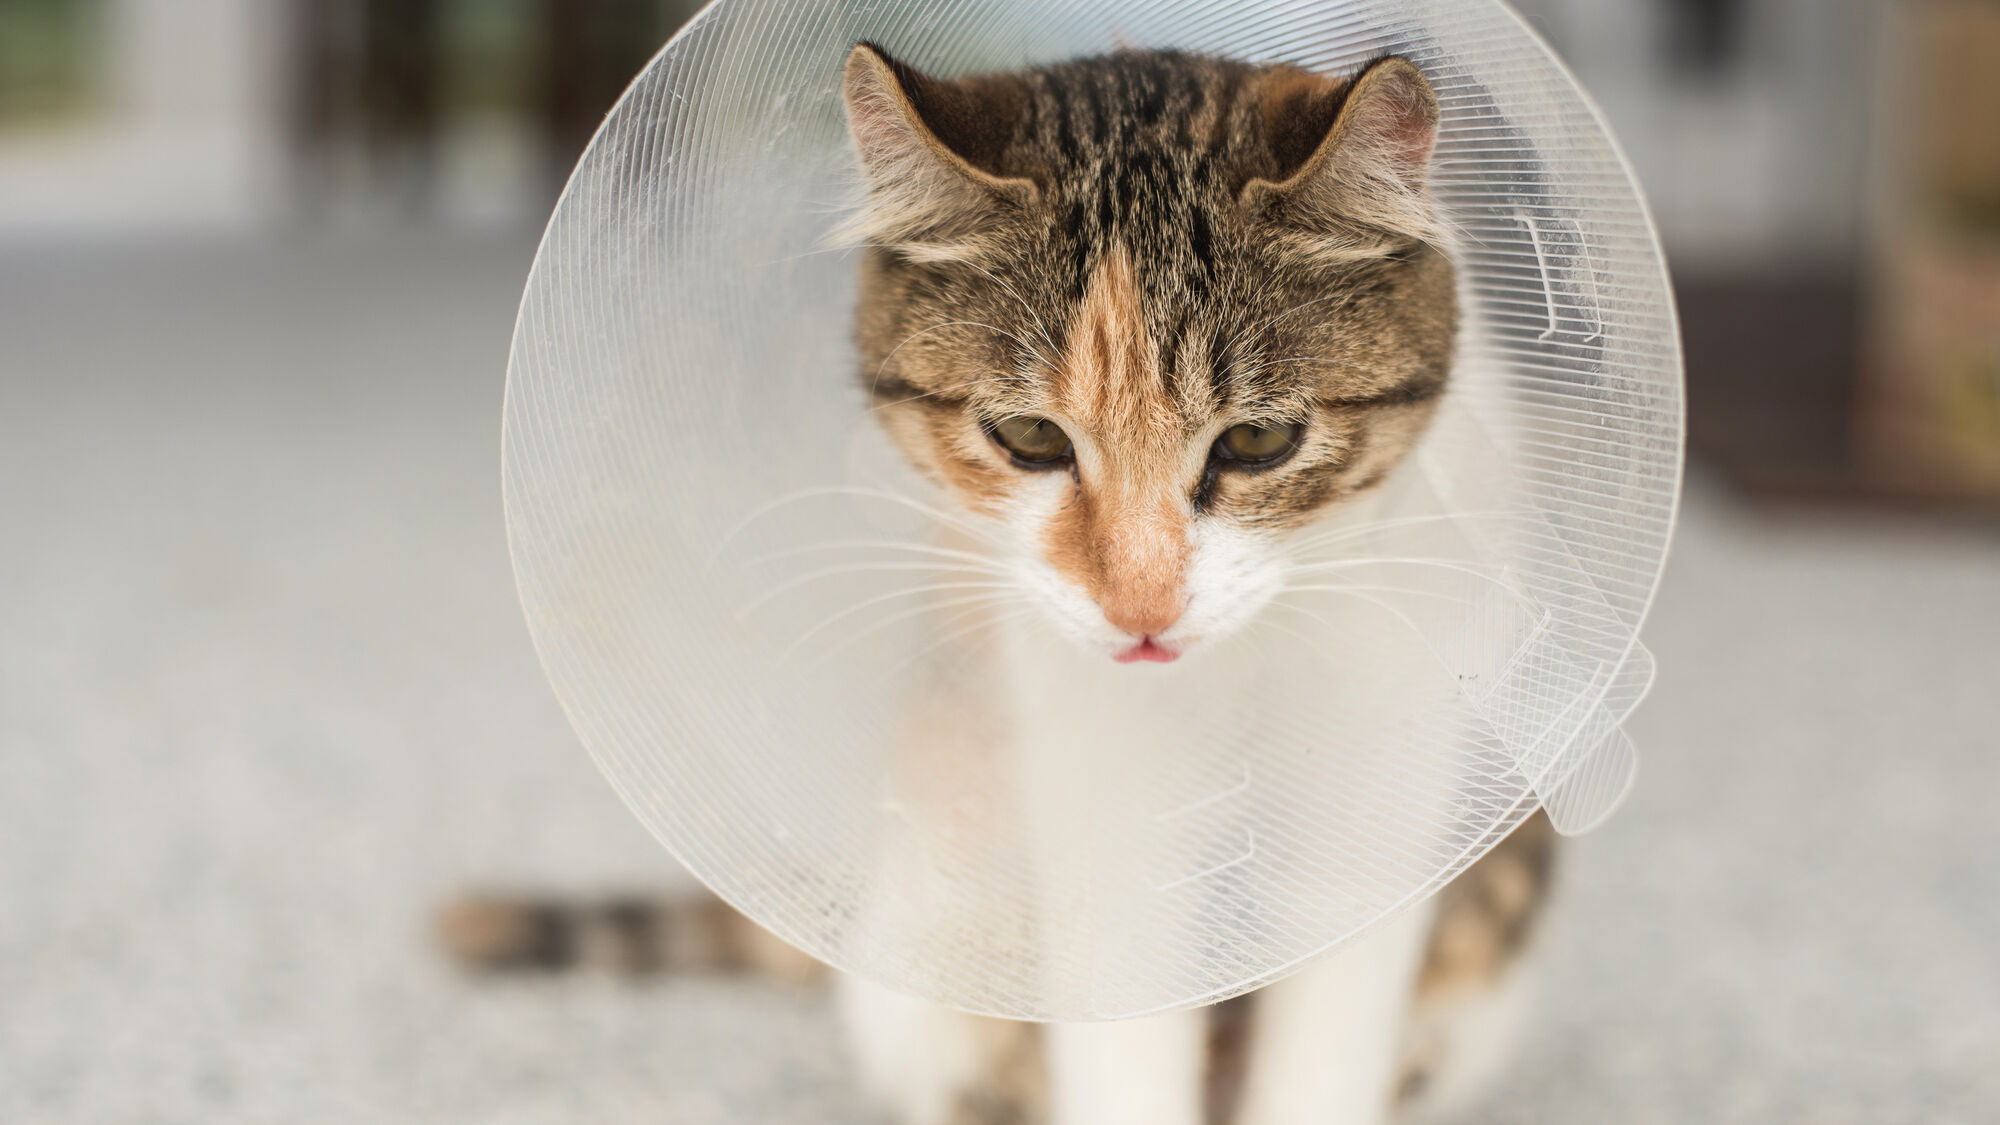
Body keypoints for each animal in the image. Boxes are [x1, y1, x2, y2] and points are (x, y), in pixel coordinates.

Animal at [446, 41, 1552, 1120]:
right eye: (1027, 436)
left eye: (1257, 441)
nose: (1141, 608)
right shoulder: (1093, 802)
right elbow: (1121, 1047)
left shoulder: (1380, 805)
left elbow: (1325, 1055)